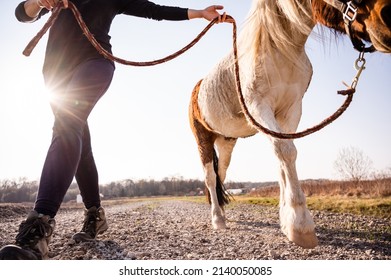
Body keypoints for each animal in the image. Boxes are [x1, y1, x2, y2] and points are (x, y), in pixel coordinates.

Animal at [188, 0, 390, 249]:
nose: (388, 17)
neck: (279, 49)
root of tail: (198, 88)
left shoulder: (290, 111)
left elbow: (285, 157)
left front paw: (287, 220)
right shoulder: (259, 107)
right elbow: (285, 152)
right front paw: (300, 225)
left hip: (227, 141)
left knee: (220, 174)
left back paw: (223, 214)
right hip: (203, 140)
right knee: (209, 176)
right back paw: (217, 219)